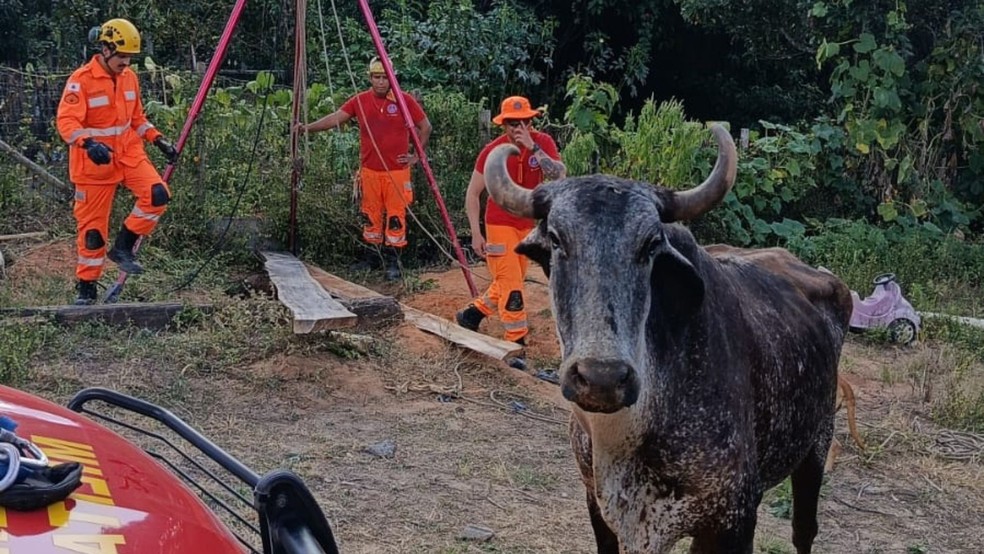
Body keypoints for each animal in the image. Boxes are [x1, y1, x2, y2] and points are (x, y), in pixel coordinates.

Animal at [482, 125, 852, 554]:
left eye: (650, 245)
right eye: (557, 240)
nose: (602, 378)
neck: (627, 435)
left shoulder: (736, 515)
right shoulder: (599, 506)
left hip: (817, 445)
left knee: (803, 530)